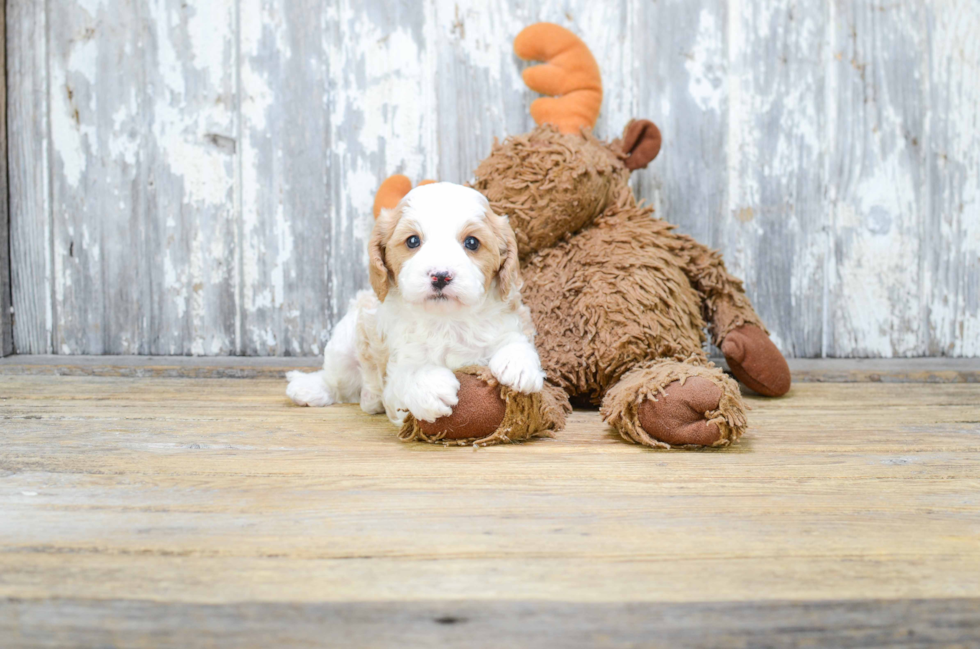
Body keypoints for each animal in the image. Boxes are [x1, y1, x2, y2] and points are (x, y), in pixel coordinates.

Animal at [284, 181, 548, 426]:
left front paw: (517, 363)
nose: (440, 276)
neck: (447, 320)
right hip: (344, 342)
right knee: (335, 380)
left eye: (472, 243)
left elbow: (515, 338)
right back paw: (310, 388)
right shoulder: (396, 371)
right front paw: (430, 385)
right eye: (412, 241)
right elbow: (407, 374)